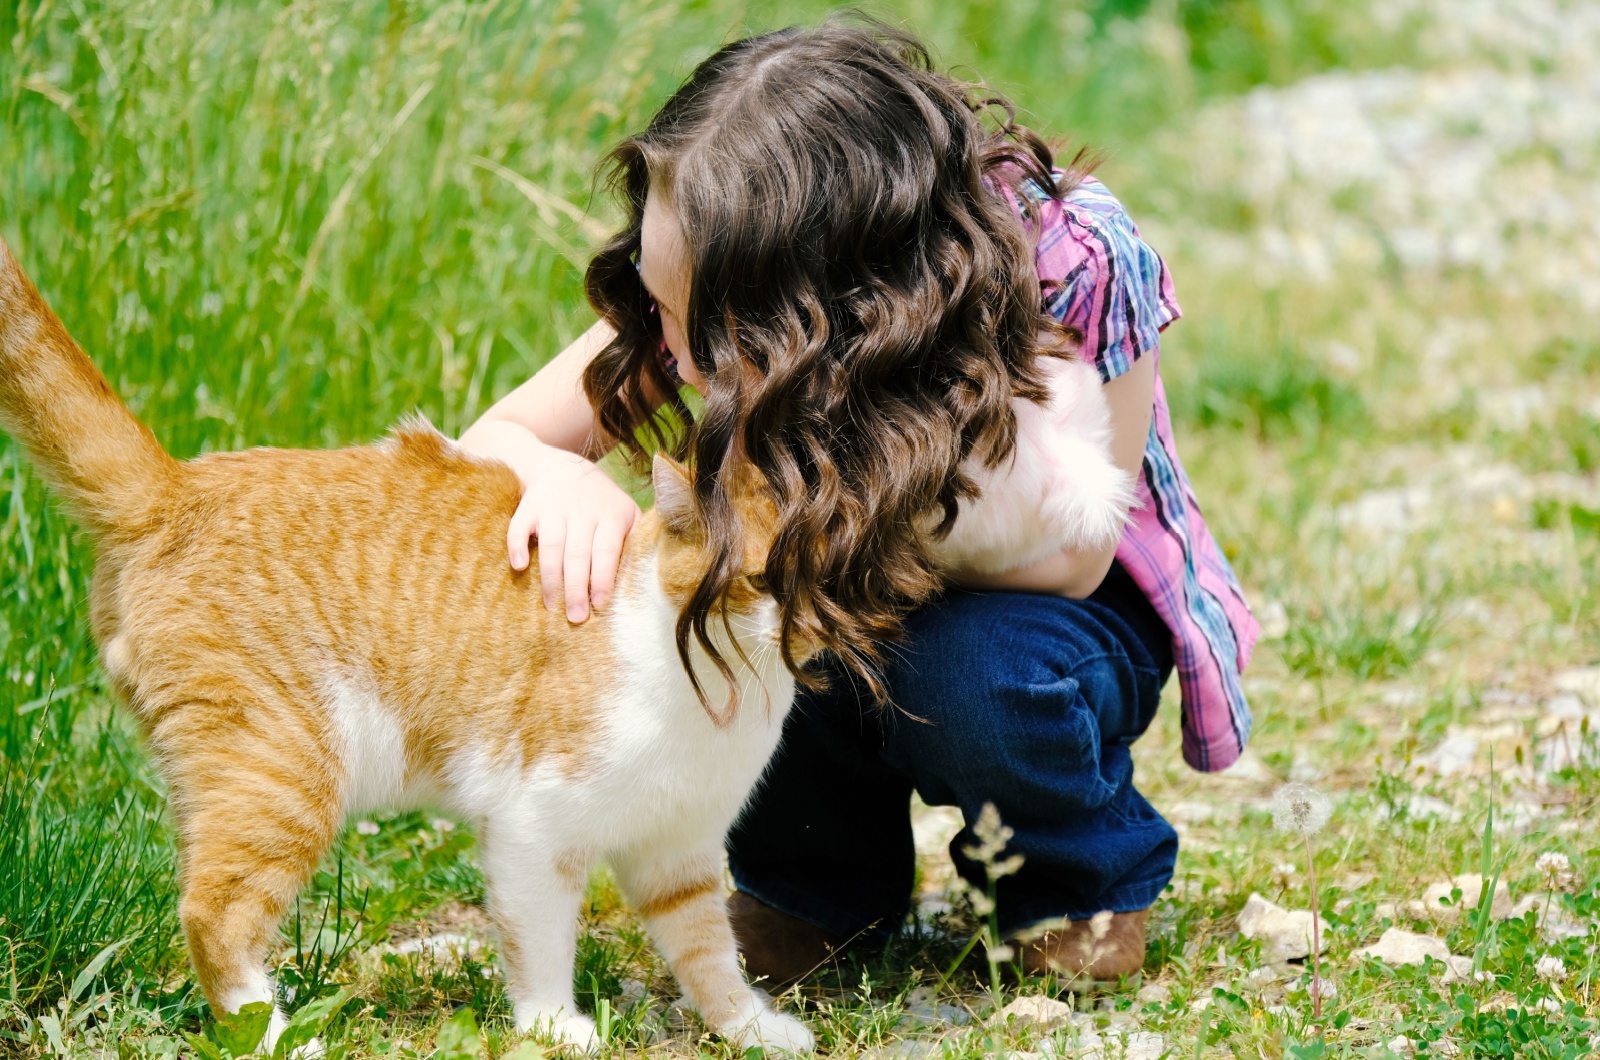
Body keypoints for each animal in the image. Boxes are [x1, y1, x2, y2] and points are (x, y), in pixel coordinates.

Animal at [0, 240, 819, 1056]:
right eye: (755, 581)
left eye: (825, 581)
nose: (802, 631)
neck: (720, 697)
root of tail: (174, 490)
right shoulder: (531, 827)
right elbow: (540, 942)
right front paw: (554, 1025)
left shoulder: (679, 851)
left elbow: (708, 950)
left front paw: (749, 1026)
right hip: (282, 773)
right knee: (212, 914)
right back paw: (280, 1036)